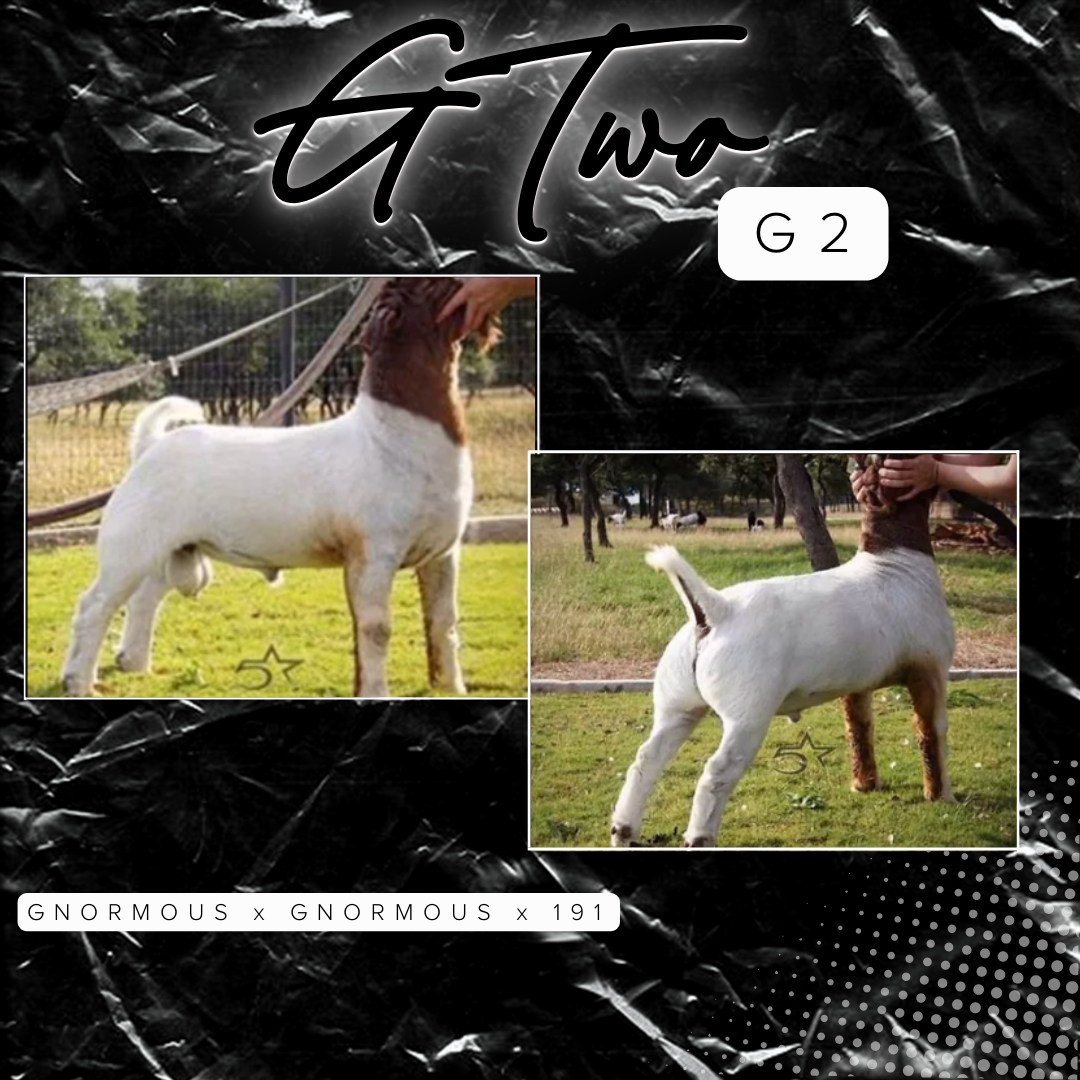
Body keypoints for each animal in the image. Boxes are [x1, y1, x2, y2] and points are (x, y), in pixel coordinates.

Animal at [61, 277, 499, 698]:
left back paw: (135, 662)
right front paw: (375, 691)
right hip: (129, 548)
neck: (393, 435)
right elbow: (376, 628)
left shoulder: (442, 555)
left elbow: (443, 622)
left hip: (170, 548)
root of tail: (151, 447)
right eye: (429, 285)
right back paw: (78, 681)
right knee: (94, 606)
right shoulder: (374, 554)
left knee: (145, 598)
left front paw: (452, 687)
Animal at [611, 454, 955, 847]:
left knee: (647, 758)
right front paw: (942, 796)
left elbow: (859, 730)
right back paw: (699, 836)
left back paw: (623, 829)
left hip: (677, 706)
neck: (893, 560)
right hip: (747, 716)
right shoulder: (929, 671)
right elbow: (931, 733)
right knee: (716, 773)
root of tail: (715, 610)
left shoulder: (856, 684)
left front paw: (864, 784)